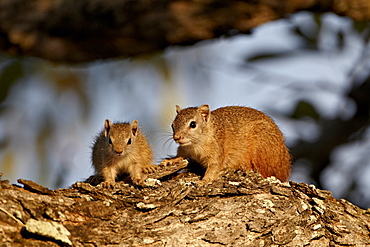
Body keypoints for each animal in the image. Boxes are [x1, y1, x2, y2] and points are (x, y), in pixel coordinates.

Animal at [162, 104, 292, 183]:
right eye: (172, 125)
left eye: (193, 124)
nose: (177, 137)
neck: (196, 144)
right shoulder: (184, 149)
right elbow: (180, 155)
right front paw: (171, 160)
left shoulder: (217, 150)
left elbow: (214, 167)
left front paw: (203, 181)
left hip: (261, 149)